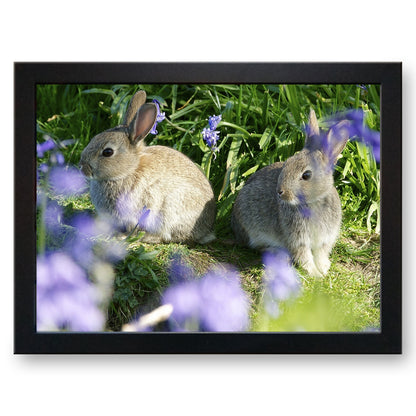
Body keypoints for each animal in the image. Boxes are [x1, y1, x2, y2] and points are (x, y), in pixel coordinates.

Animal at [80, 90, 218, 244]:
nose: (83, 168)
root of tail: (207, 229)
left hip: (170, 211)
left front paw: (121, 236)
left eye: (108, 152)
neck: (128, 170)